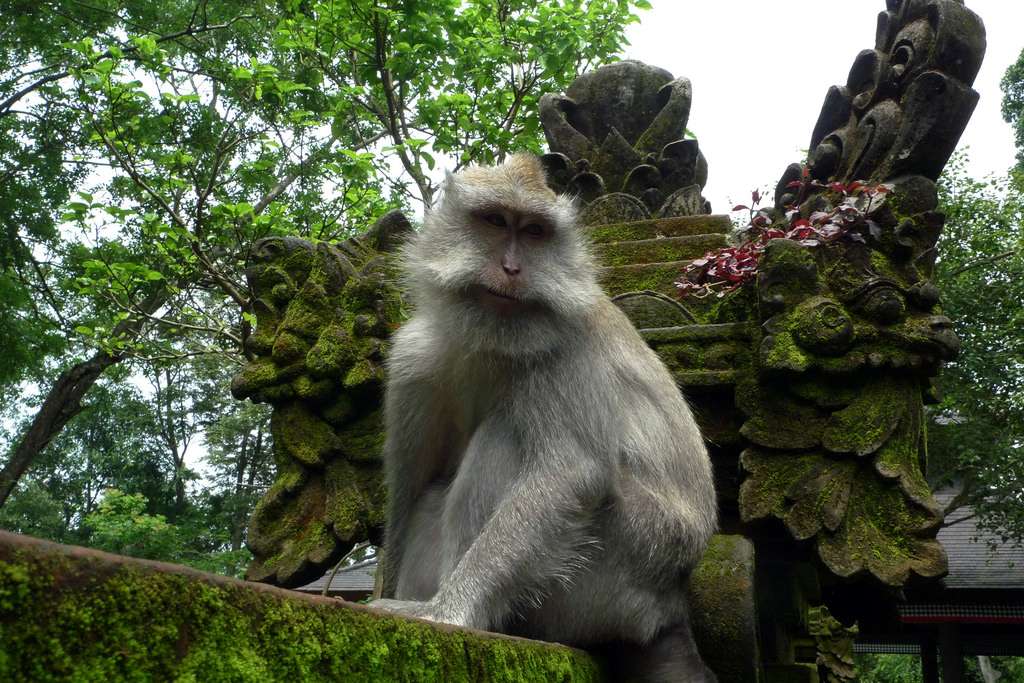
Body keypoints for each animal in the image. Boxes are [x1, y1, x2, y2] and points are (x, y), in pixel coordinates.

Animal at [371, 154, 718, 682]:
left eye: (535, 231)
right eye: (496, 221)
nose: (512, 268)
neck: (492, 339)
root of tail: (672, 607)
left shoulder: (567, 346)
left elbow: (569, 474)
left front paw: (447, 612)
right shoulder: (413, 359)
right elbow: (409, 487)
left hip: (619, 571)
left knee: (506, 436)